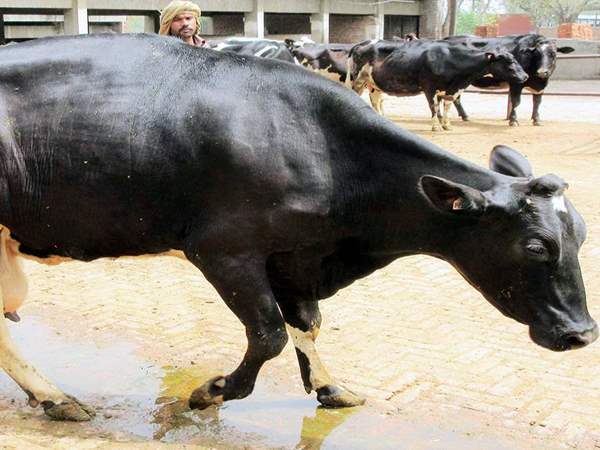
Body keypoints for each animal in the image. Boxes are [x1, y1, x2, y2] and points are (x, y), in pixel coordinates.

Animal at [346, 39, 528, 130]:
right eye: (508, 63)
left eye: (515, 59)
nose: (525, 76)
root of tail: (360, 44)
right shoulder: (429, 86)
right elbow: (433, 106)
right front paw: (436, 126)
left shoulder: (450, 89)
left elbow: (446, 106)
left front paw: (446, 125)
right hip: (358, 79)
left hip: (373, 83)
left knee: (376, 100)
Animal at [444, 34, 575, 126]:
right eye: (537, 54)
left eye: (553, 54)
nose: (542, 72)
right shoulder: (516, 83)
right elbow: (516, 101)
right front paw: (513, 120)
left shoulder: (540, 87)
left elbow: (537, 102)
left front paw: (536, 120)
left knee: (456, 96)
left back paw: (465, 116)